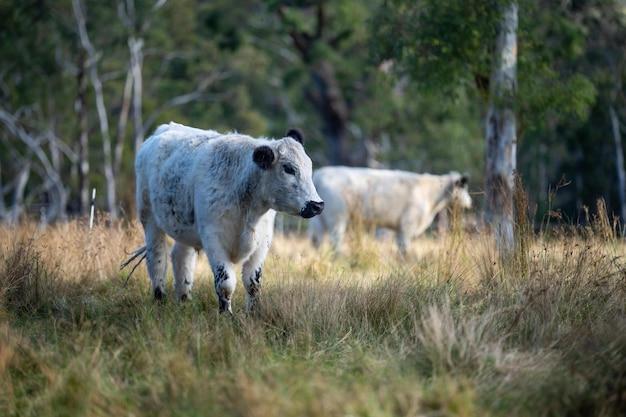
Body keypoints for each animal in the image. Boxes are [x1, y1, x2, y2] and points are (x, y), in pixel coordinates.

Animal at [135, 122, 322, 310]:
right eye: (288, 169)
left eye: (309, 166)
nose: (317, 205)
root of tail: (164, 129)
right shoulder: (214, 240)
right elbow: (225, 283)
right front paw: (226, 313)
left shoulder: (262, 242)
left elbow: (253, 283)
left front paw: (253, 312)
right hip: (149, 219)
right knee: (157, 259)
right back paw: (159, 299)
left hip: (183, 230)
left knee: (181, 257)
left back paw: (184, 299)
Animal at [308, 167, 468, 252]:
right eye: (463, 187)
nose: (469, 202)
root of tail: (319, 174)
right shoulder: (407, 224)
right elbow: (404, 247)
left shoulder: (394, 227)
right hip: (337, 217)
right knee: (335, 239)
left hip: (318, 220)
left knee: (317, 240)